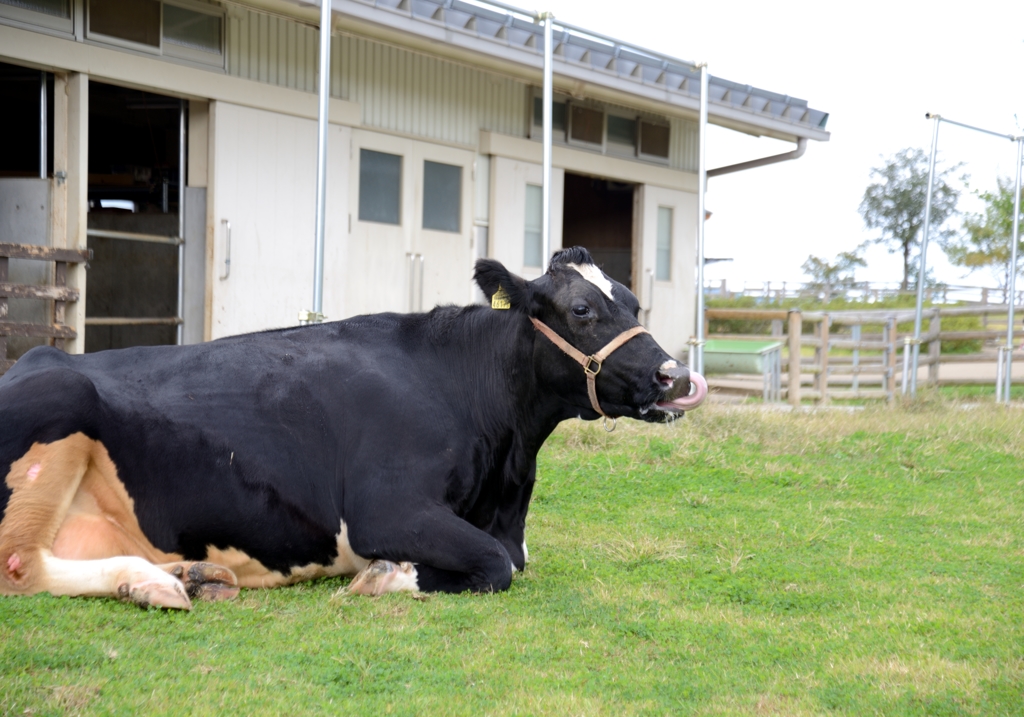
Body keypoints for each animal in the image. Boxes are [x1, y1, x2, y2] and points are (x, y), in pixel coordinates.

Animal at [0, 247, 704, 610]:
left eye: (633, 302)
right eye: (582, 309)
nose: (675, 377)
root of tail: (35, 358)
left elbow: (514, 557)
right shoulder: (385, 508)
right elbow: (496, 562)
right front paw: (387, 575)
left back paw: (186, 575)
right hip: (57, 412)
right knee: (20, 564)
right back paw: (155, 583)